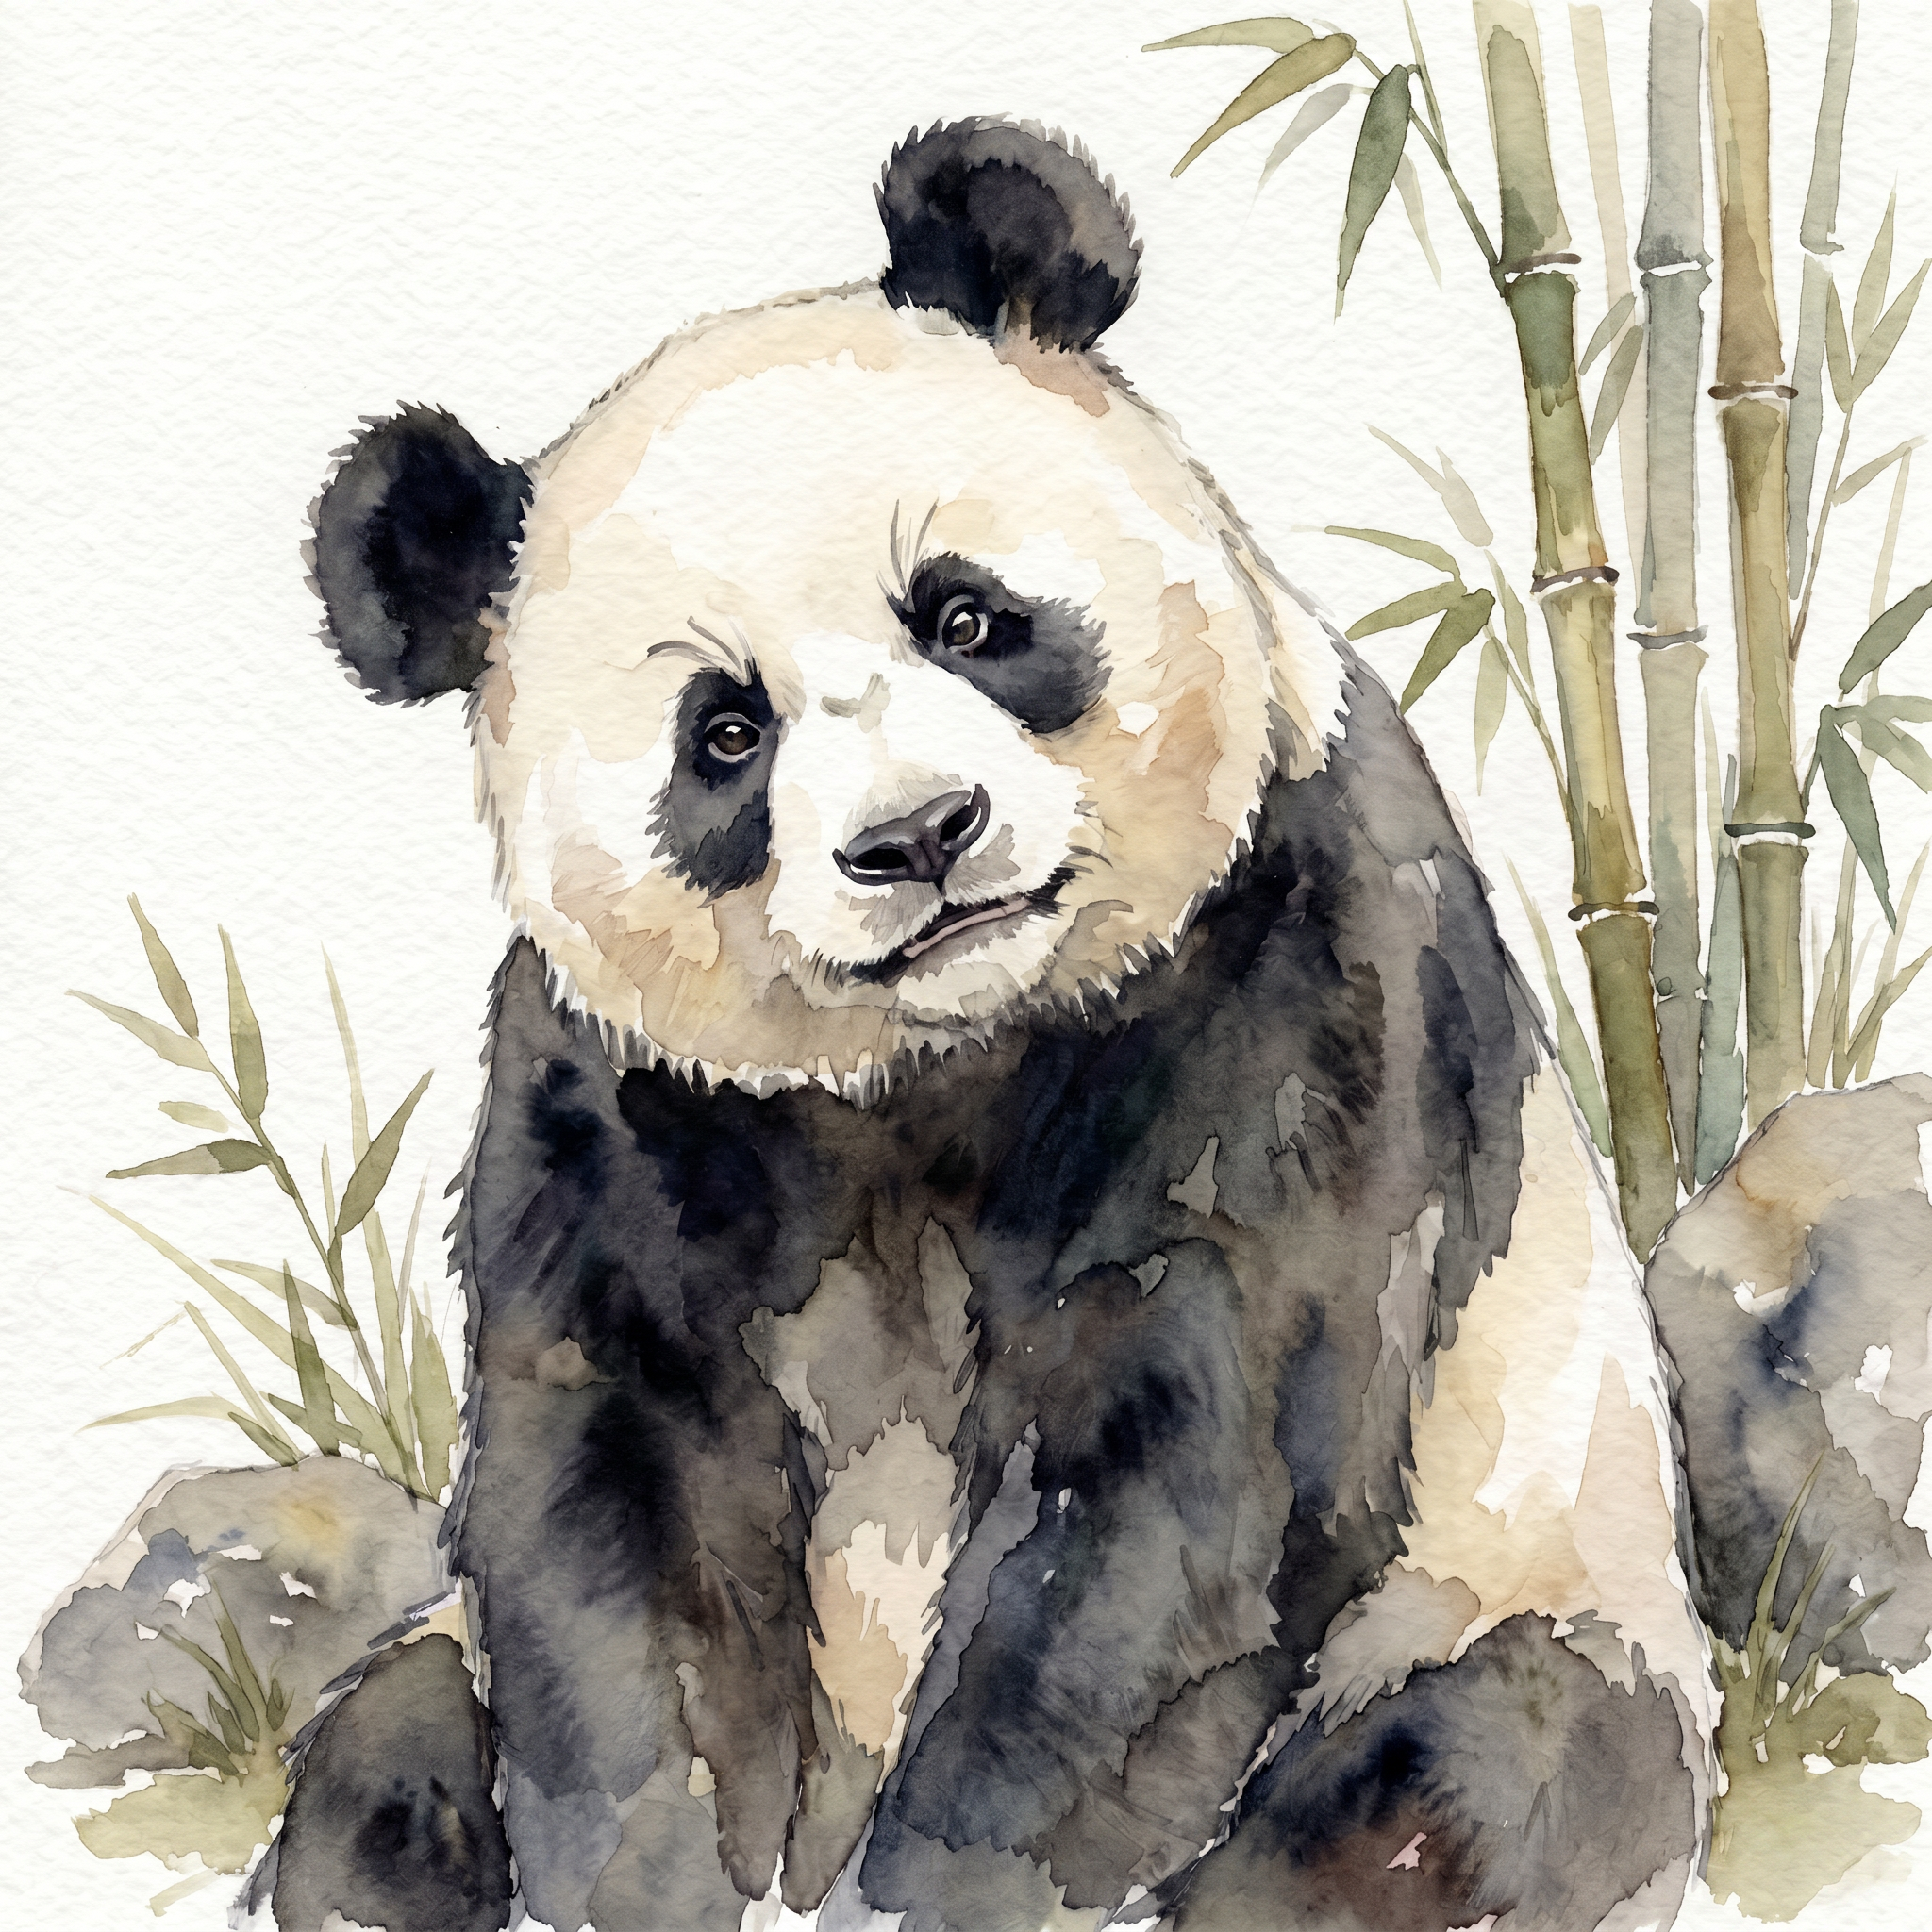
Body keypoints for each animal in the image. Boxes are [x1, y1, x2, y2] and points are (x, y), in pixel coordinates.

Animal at [269, 119, 1717, 1932]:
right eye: (725, 734)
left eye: (964, 616)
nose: (919, 836)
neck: (933, 1061)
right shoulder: (619, 1097)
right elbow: (621, 1503)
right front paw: (665, 1877)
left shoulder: (1286, 966)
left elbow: (1175, 1467)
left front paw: (921, 1892)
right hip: (431, 1674)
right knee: (380, 1769)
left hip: (1537, 1572)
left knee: (1460, 1782)